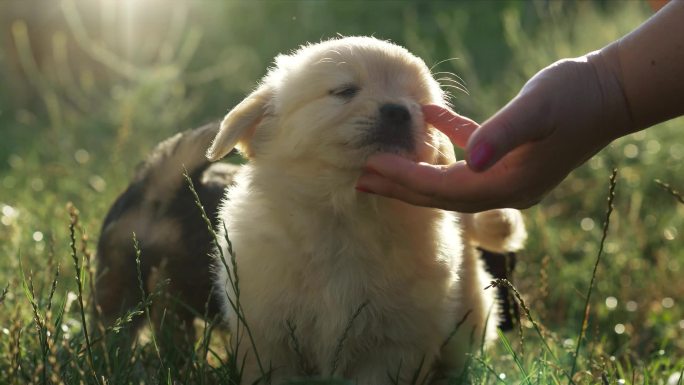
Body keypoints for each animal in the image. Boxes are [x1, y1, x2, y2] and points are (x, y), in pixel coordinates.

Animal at [206, 35, 528, 380]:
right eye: (345, 91)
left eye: (420, 103)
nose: (399, 111)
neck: (348, 214)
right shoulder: (268, 336)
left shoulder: (394, 344)